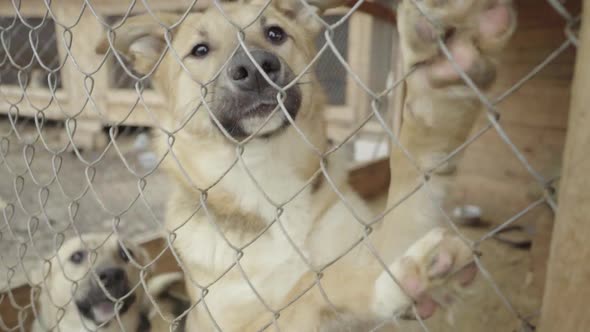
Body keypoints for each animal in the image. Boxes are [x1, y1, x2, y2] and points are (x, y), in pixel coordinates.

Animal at [96, 0, 512, 330]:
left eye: (275, 33)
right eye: (199, 50)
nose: (256, 68)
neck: (266, 175)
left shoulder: (374, 243)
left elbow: (412, 179)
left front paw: (440, 77)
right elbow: (310, 288)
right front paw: (392, 284)